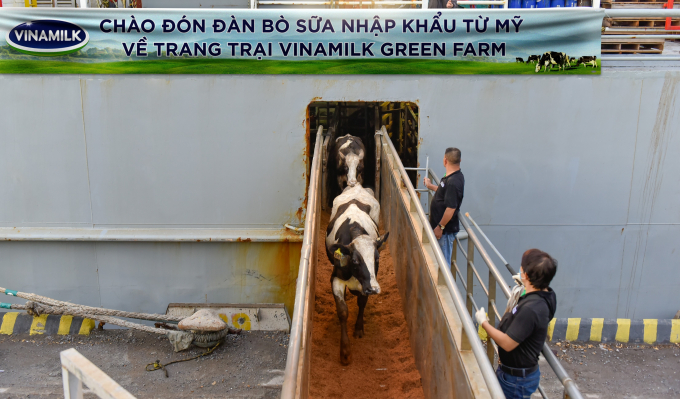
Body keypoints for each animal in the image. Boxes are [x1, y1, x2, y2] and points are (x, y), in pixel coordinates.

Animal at [328, 184, 390, 366]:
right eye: (355, 260)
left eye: (377, 258)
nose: (375, 289)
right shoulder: (335, 278)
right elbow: (343, 311)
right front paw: (345, 352)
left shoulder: (367, 283)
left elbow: (362, 302)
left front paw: (359, 329)